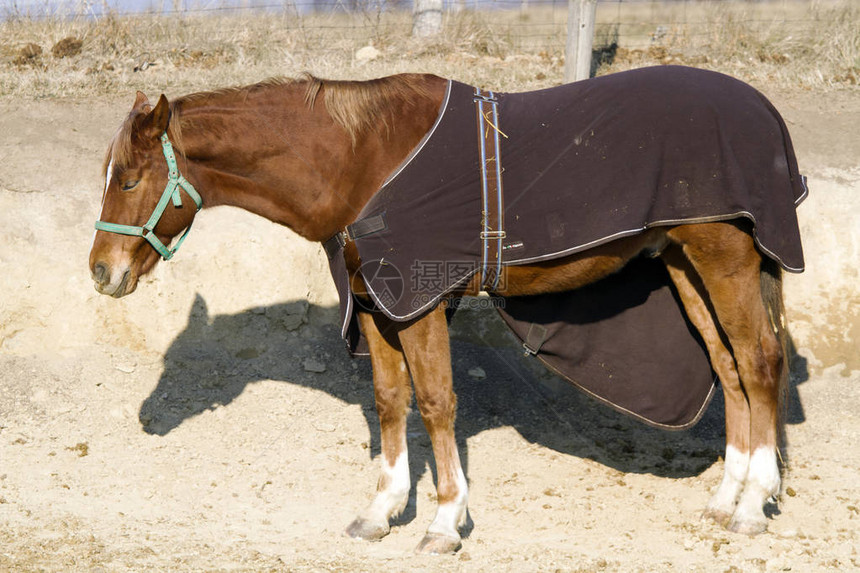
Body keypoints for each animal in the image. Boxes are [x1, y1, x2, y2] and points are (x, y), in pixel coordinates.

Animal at [90, 68, 804, 556]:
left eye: (129, 179)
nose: (102, 272)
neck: (362, 159)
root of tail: (763, 109)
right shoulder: (377, 304)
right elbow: (390, 401)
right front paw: (381, 511)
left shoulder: (418, 303)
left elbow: (435, 402)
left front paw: (443, 521)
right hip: (684, 263)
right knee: (728, 369)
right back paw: (724, 498)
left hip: (725, 258)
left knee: (760, 364)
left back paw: (752, 503)